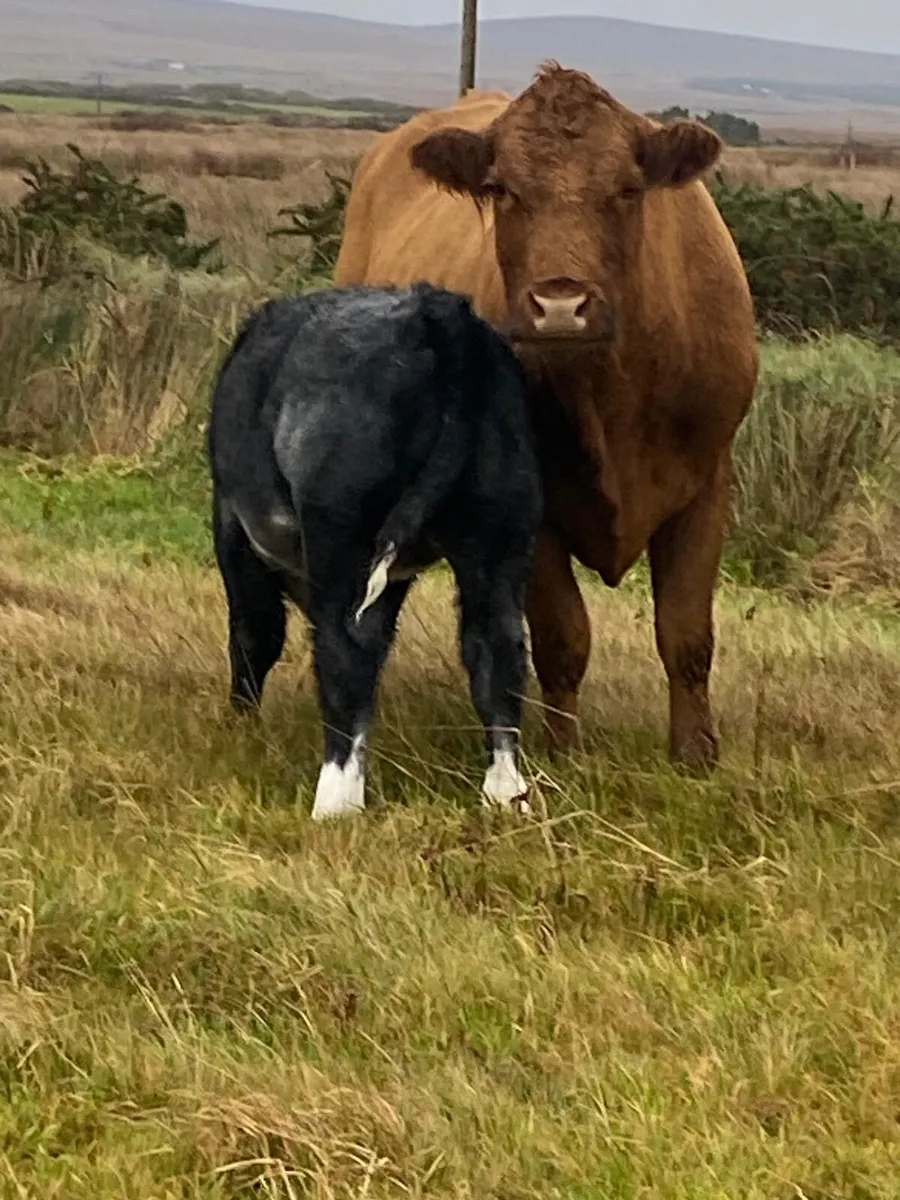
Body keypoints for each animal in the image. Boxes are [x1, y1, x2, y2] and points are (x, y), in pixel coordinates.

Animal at [207, 282, 542, 821]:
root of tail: (440, 314)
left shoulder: (235, 530)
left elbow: (255, 633)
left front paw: (241, 724)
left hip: (342, 533)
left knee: (346, 649)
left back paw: (336, 802)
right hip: (501, 531)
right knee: (498, 647)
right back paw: (504, 793)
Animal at [334, 62, 759, 771]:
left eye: (627, 189)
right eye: (501, 190)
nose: (561, 305)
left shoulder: (707, 484)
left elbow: (687, 632)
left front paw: (696, 753)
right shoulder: (528, 507)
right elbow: (563, 636)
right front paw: (562, 752)